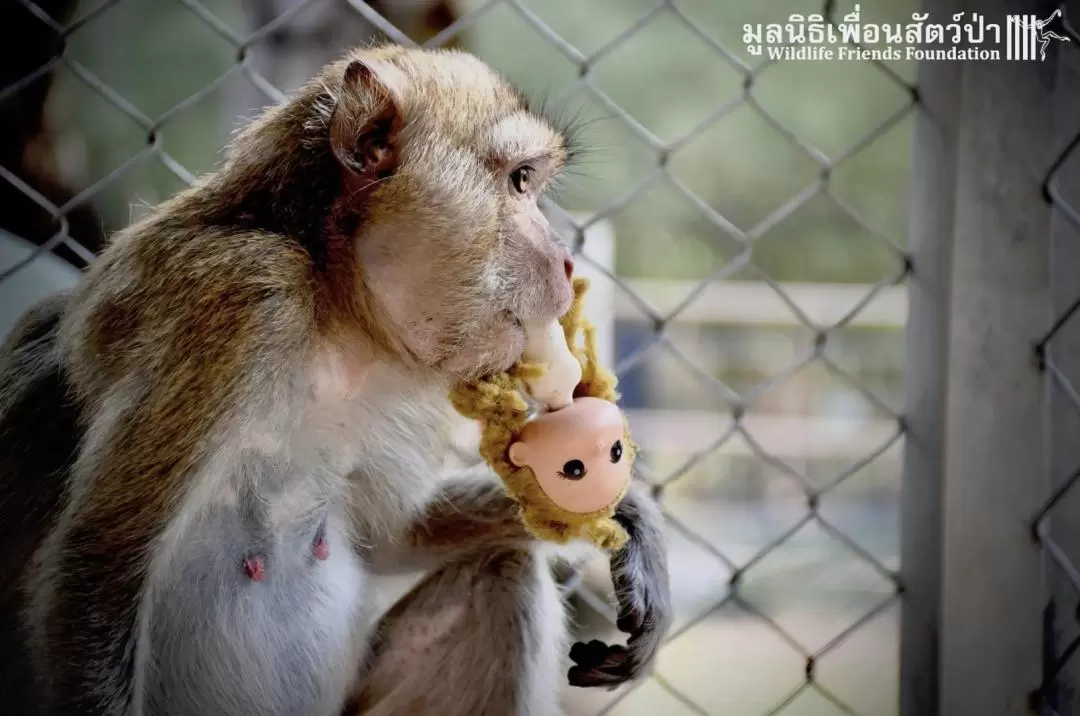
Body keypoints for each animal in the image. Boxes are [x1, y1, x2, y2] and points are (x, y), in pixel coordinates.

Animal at [0, 46, 665, 716]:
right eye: (521, 180)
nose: (565, 261)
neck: (333, 315)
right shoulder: (244, 296)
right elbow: (97, 568)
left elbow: (389, 533)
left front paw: (630, 517)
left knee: (506, 574)